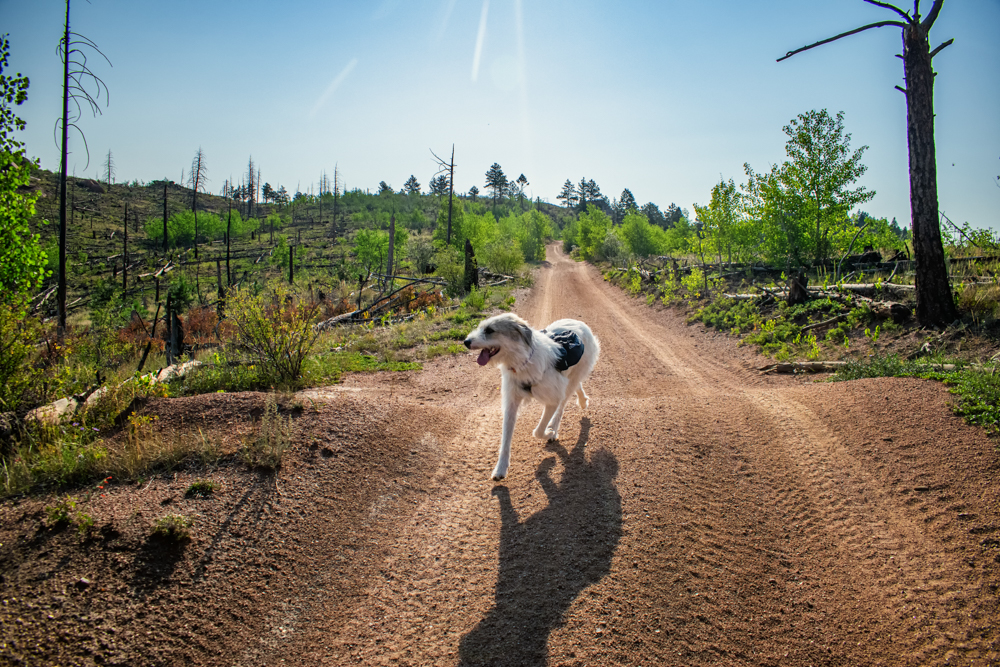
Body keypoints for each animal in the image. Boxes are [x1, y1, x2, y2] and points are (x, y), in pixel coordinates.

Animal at [462, 314, 596, 480]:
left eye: (489, 330)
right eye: (480, 327)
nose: (466, 342)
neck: (522, 361)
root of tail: (580, 323)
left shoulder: (553, 400)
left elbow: (539, 431)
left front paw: (549, 432)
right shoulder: (511, 404)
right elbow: (505, 439)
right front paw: (500, 469)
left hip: (570, 381)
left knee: (562, 406)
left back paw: (555, 427)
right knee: (576, 386)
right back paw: (583, 401)